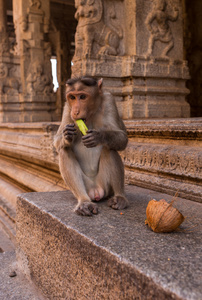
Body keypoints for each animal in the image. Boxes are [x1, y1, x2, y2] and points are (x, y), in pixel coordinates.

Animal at [53, 76, 129, 214]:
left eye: (82, 97)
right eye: (72, 97)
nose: (76, 111)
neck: (91, 114)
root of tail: (96, 191)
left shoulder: (109, 100)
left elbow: (122, 138)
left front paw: (98, 136)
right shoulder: (67, 108)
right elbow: (57, 141)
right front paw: (67, 135)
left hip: (105, 185)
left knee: (110, 148)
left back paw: (120, 197)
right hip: (86, 186)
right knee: (64, 150)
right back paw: (84, 201)